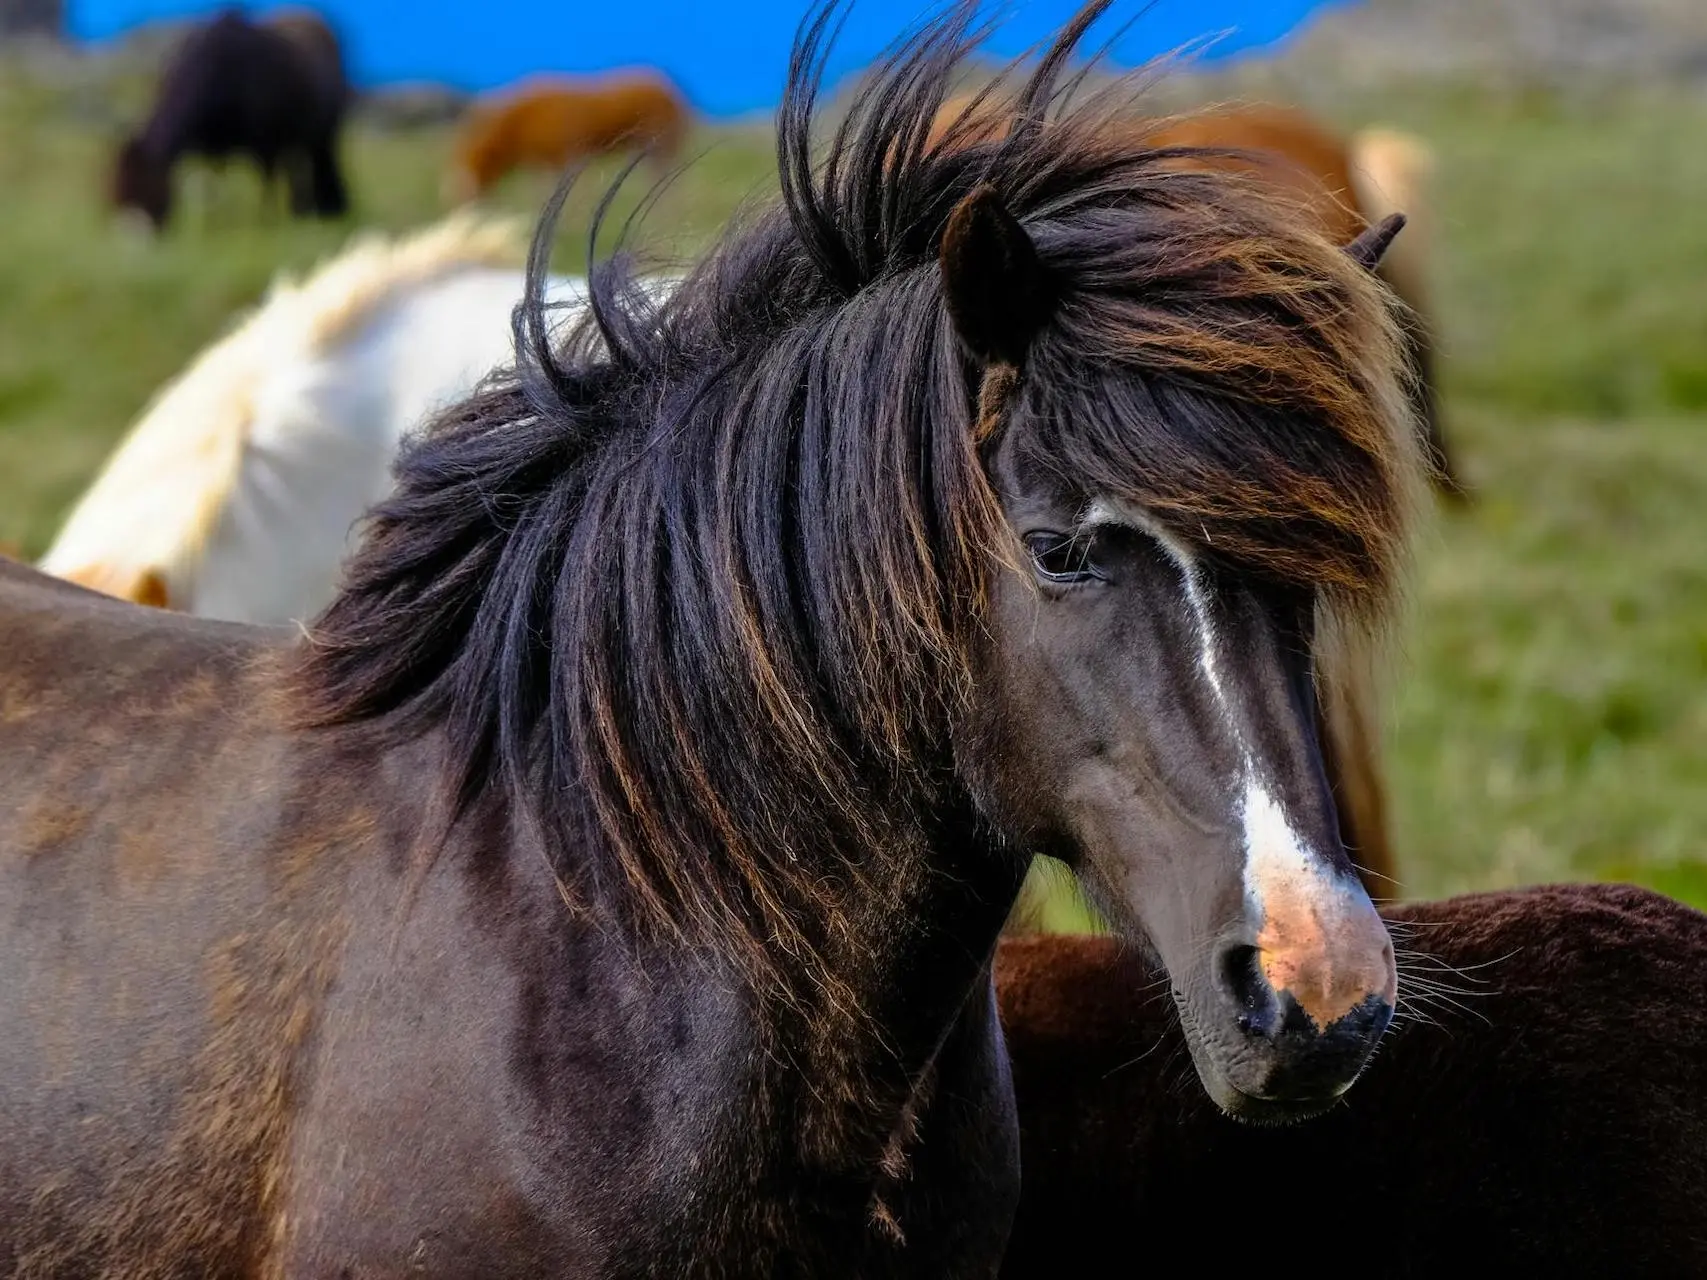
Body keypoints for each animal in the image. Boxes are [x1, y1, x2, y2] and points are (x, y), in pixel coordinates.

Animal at [110, 6, 353, 232]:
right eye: (120, 189)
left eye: (143, 186)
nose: (132, 234)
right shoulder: (210, 146)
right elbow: (209, 187)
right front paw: (212, 226)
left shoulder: (265, 143)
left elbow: (266, 182)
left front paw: (265, 222)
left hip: (323, 133)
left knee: (315, 163)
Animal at [447, 68, 699, 205]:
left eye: (468, 190)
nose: (465, 209)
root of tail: (670, 89)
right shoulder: (544, 159)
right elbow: (543, 192)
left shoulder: (567, 154)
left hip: (662, 144)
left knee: (673, 180)